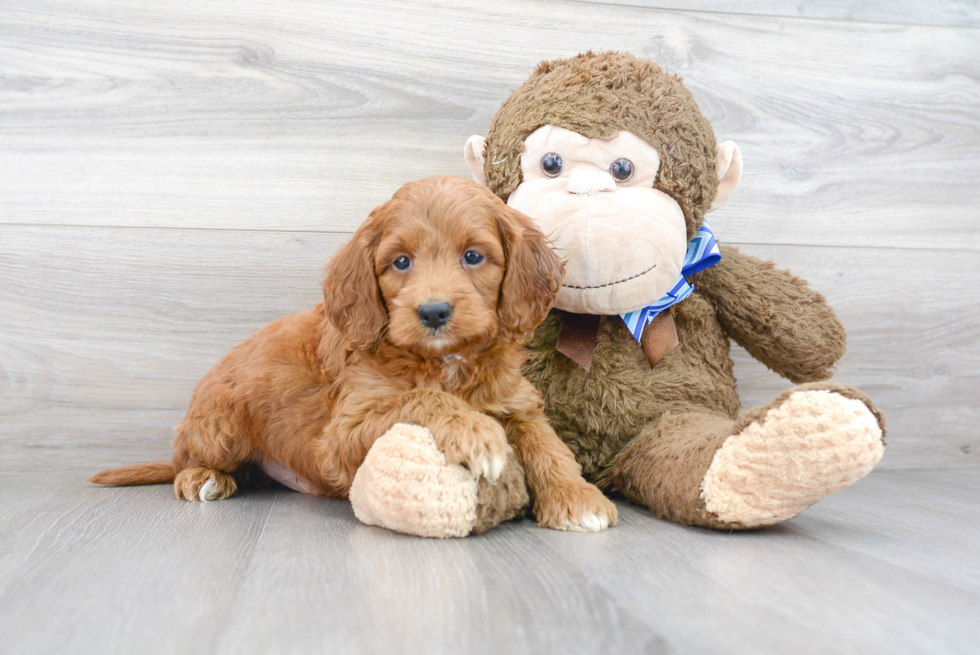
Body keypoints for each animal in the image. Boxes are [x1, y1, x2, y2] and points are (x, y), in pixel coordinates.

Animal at [90, 176, 612, 532]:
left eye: (473, 256)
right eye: (400, 262)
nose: (434, 311)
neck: (443, 362)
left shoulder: (516, 402)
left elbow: (549, 445)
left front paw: (577, 498)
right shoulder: (344, 431)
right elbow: (420, 398)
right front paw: (475, 431)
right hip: (220, 425)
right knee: (185, 459)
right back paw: (201, 478)